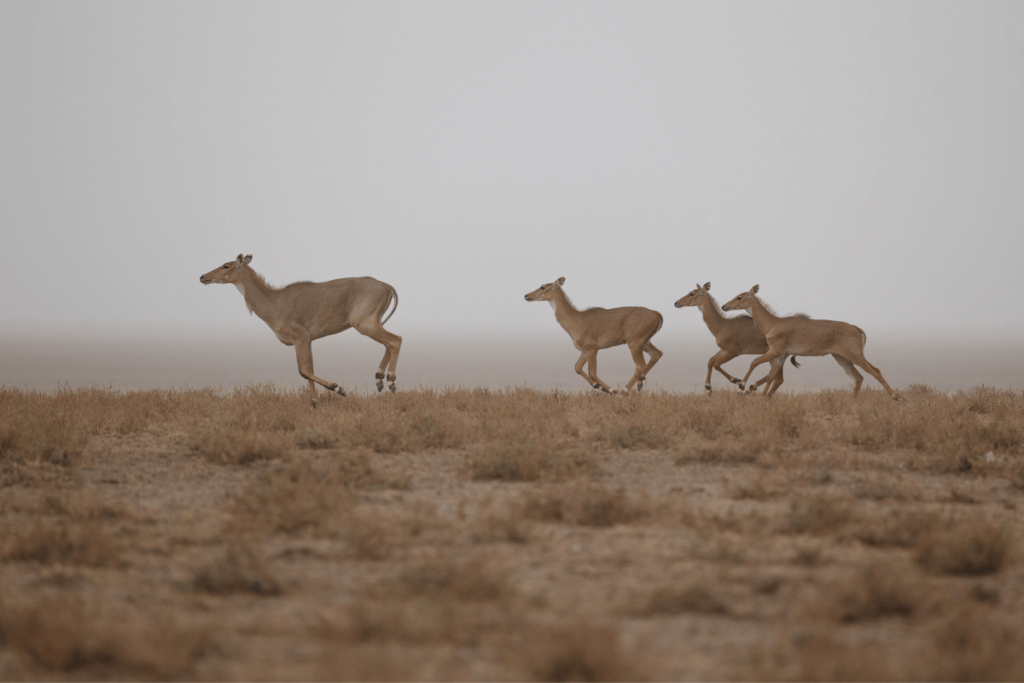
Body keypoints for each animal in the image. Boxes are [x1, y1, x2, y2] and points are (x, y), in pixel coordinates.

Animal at [197, 254, 401, 405]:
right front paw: (314, 402)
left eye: (226, 265)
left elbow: (302, 370)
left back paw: (390, 381)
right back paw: (379, 379)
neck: (274, 302)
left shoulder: (299, 338)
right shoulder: (308, 341)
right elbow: (309, 369)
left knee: (395, 340)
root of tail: (387, 286)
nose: (203, 277)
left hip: (365, 324)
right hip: (374, 323)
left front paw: (338, 388)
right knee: (388, 344)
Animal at [528, 276, 663, 393]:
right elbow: (577, 368)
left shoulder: (592, 349)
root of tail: (657, 314)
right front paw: (598, 386)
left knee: (640, 365)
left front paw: (611, 390)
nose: (527, 295)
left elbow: (592, 372)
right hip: (645, 342)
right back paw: (639, 383)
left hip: (634, 343)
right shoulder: (584, 351)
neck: (577, 320)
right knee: (657, 354)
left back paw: (624, 390)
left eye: (543, 287)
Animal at [720, 284, 897, 401]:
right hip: (842, 359)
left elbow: (754, 362)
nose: (724, 306)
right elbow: (771, 376)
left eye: (739, 297)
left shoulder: (776, 352)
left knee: (875, 371)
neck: (773, 323)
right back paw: (852, 401)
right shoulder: (781, 356)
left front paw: (741, 387)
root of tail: (858, 330)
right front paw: (762, 398)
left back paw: (895, 396)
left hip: (855, 356)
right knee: (858, 377)